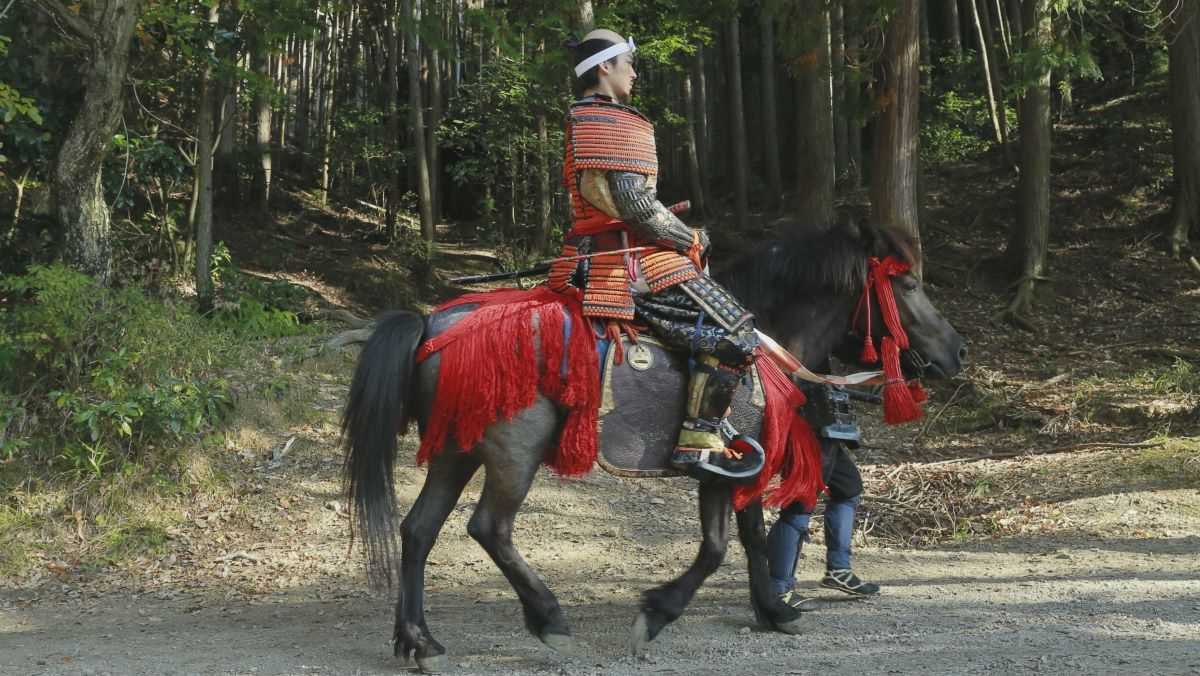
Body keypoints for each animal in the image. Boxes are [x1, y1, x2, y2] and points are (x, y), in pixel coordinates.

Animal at [341, 221, 966, 672]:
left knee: (418, 530)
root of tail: (431, 326)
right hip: (512, 453)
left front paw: (772, 609)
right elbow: (717, 549)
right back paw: (548, 619)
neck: (769, 343)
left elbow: (749, 541)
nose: (957, 351)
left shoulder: (736, 470)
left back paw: (417, 640)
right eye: (908, 286)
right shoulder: (723, 470)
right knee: (489, 528)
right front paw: (658, 614)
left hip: (457, 450)